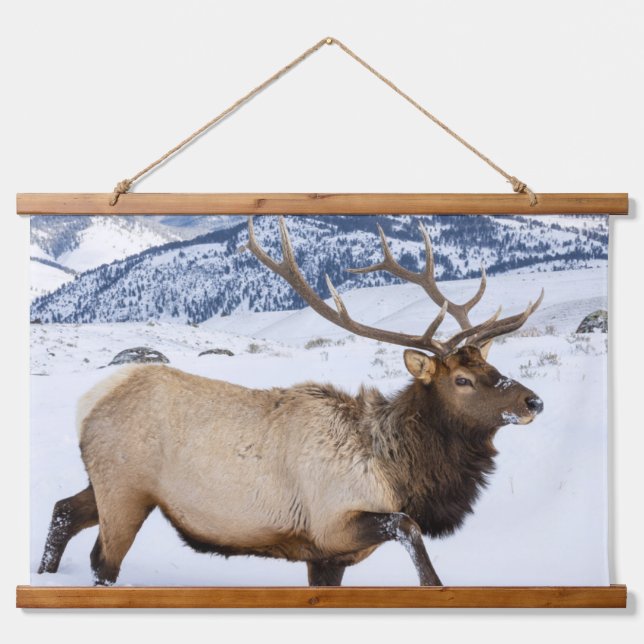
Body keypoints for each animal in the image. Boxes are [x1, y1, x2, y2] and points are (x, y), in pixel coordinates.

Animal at [38, 216, 544, 587]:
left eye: (490, 367)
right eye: (462, 379)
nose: (533, 401)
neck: (399, 473)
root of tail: (90, 401)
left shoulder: (327, 556)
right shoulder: (332, 522)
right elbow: (409, 528)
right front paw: (435, 586)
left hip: (108, 483)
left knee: (63, 510)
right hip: (125, 487)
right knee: (102, 559)